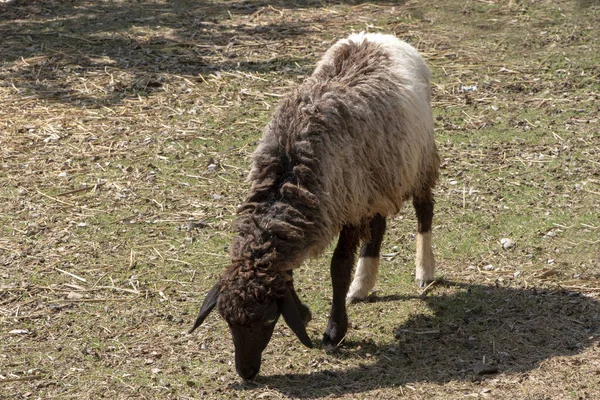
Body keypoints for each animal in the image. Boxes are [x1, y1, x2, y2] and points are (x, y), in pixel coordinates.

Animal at [190, 32, 438, 380]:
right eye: (227, 320)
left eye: (269, 319)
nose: (247, 373)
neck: (288, 171)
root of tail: (376, 34)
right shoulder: (353, 199)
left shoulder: (347, 208)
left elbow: (338, 267)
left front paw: (335, 331)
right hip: (376, 181)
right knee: (378, 226)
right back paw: (363, 285)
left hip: (418, 160)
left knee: (424, 209)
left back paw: (424, 270)